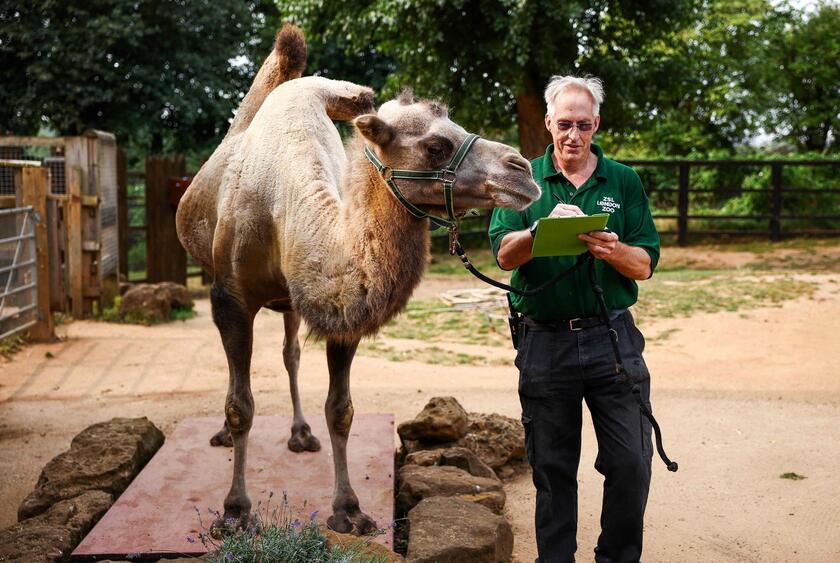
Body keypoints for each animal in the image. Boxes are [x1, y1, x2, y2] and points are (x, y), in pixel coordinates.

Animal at [177, 25, 540, 532]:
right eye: (435, 146)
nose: (522, 172)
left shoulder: (340, 312)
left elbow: (341, 410)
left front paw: (348, 510)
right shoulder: (230, 296)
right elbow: (241, 405)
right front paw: (234, 511)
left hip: (288, 301)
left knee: (290, 353)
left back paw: (301, 433)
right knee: (240, 379)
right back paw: (224, 437)